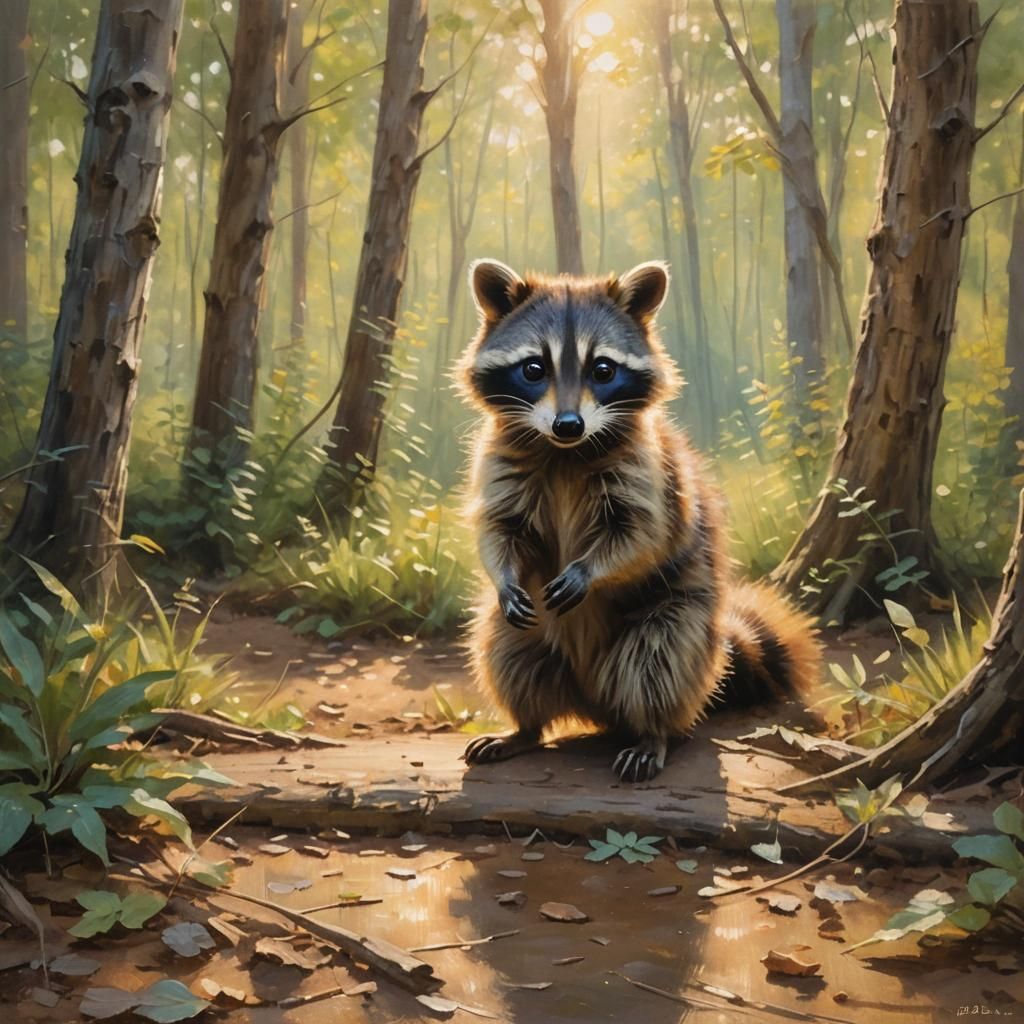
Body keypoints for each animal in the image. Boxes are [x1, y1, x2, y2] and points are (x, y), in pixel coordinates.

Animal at [456, 259, 821, 782]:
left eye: (603, 369)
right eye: (533, 368)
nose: (569, 424)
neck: (564, 453)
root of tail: (594, 703)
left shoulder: (652, 473)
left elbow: (643, 536)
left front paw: (589, 569)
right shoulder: (501, 462)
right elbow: (500, 528)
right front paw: (503, 576)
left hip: (681, 619)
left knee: (658, 665)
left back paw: (653, 732)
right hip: (522, 634)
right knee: (507, 655)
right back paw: (524, 728)